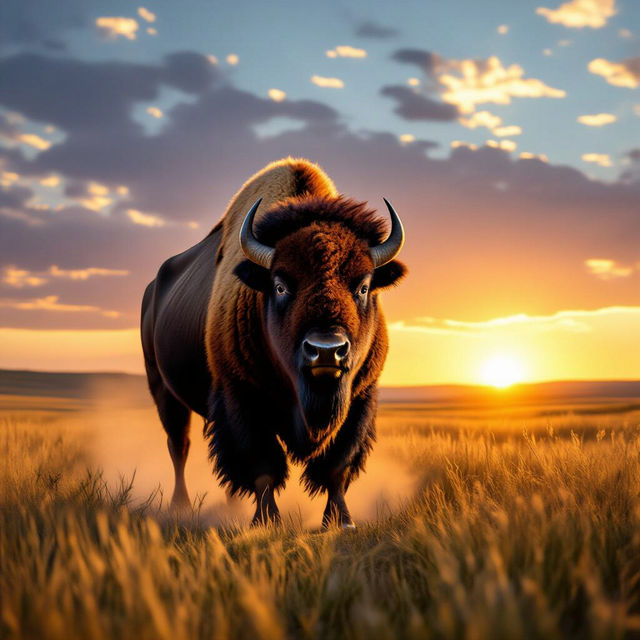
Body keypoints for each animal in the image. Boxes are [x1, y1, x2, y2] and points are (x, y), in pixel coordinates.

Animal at [141, 158, 406, 528]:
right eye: (280, 285)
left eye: (364, 286)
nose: (326, 351)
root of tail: (153, 288)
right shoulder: (242, 398)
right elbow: (263, 464)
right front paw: (266, 521)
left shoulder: (360, 400)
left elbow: (337, 467)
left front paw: (341, 521)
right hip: (163, 389)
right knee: (179, 445)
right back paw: (181, 506)